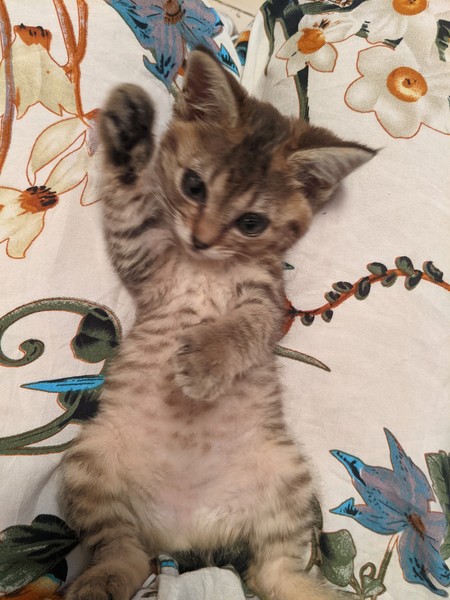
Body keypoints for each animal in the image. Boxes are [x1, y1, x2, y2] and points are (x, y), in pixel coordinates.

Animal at [59, 48, 375, 600]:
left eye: (251, 223)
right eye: (193, 186)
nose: (202, 240)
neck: (207, 268)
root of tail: (185, 533)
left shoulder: (270, 308)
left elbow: (244, 327)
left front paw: (206, 362)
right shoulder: (142, 257)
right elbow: (130, 203)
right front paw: (129, 131)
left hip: (287, 479)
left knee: (271, 572)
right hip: (90, 461)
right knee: (124, 550)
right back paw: (101, 580)